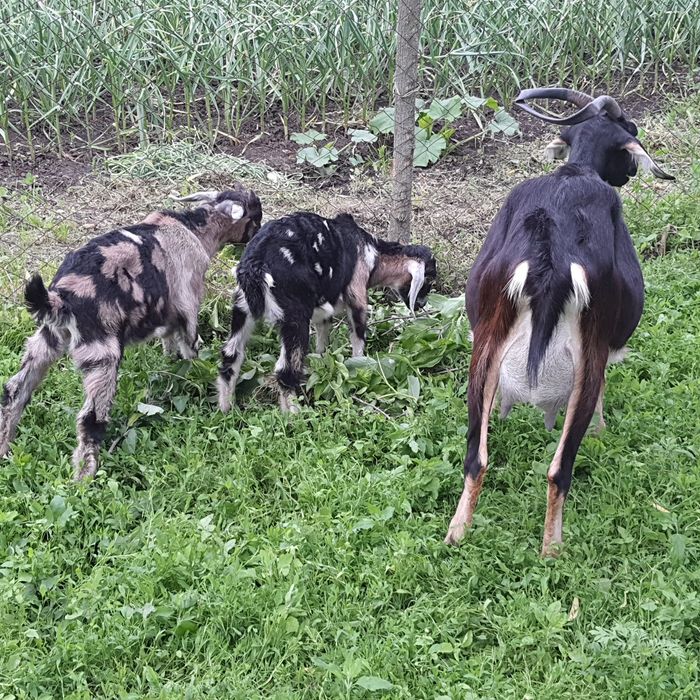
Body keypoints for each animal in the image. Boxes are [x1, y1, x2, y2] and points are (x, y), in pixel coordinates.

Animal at [0, 188, 262, 479]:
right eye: (255, 214)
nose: (258, 232)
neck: (193, 227)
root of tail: (60, 297)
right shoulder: (188, 304)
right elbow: (190, 348)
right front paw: (193, 374)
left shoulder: (168, 314)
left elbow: (169, 340)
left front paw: (170, 363)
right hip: (102, 354)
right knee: (90, 417)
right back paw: (84, 477)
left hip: (47, 339)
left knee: (15, 390)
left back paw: (5, 448)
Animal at [217, 212, 436, 412]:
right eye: (428, 280)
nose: (422, 304)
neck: (373, 253)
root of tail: (255, 265)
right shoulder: (356, 293)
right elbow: (358, 335)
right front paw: (359, 364)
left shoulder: (322, 308)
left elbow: (323, 337)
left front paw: (322, 362)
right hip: (294, 315)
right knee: (286, 371)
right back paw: (294, 418)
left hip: (242, 306)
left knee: (231, 356)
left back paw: (226, 410)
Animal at [444, 88, 673, 556]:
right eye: (631, 131)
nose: (628, 174)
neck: (576, 171)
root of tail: (549, 254)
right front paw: (603, 432)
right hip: (588, 354)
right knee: (559, 467)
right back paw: (553, 548)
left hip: (486, 346)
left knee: (476, 458)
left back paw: (457, 533)